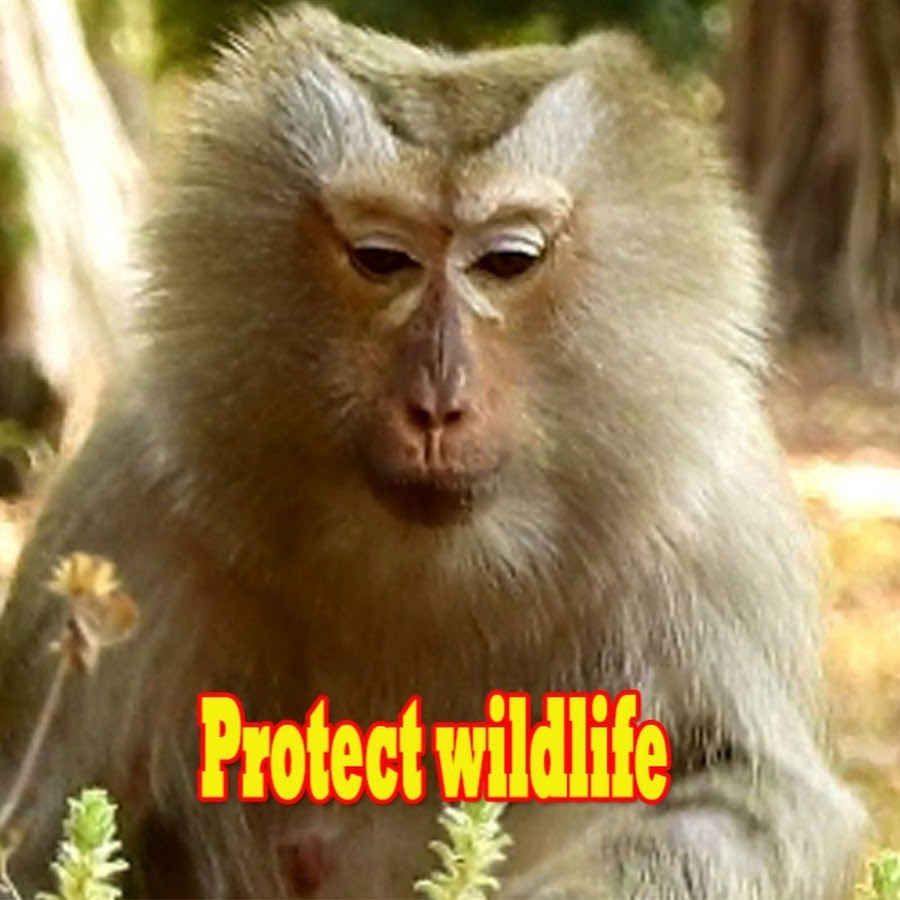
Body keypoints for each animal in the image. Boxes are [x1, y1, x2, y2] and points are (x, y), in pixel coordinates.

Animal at [0, 5, 867, 898]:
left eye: (509, 260)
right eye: (382, 258)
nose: (437, 404)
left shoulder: (705, 531)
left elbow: (748, 797)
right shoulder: (127, 507)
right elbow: (39, 822)